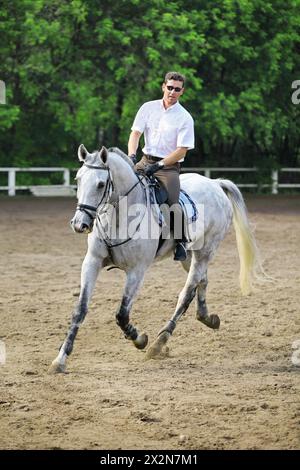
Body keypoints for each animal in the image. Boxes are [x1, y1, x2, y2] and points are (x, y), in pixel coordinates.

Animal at [48, 145, 260, 372]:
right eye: (78, 179)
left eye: (101, 184)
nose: (79, 224)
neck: (119, 217)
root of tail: (215, 184)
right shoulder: (92, 261)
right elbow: (80, 310)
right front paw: (60, 359)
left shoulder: (137, 270)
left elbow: (122, 314)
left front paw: (140, 339)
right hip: (189, 256)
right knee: (202, 281)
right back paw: (207, 318)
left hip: (206, 251)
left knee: (186, 292)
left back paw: (159, 343)